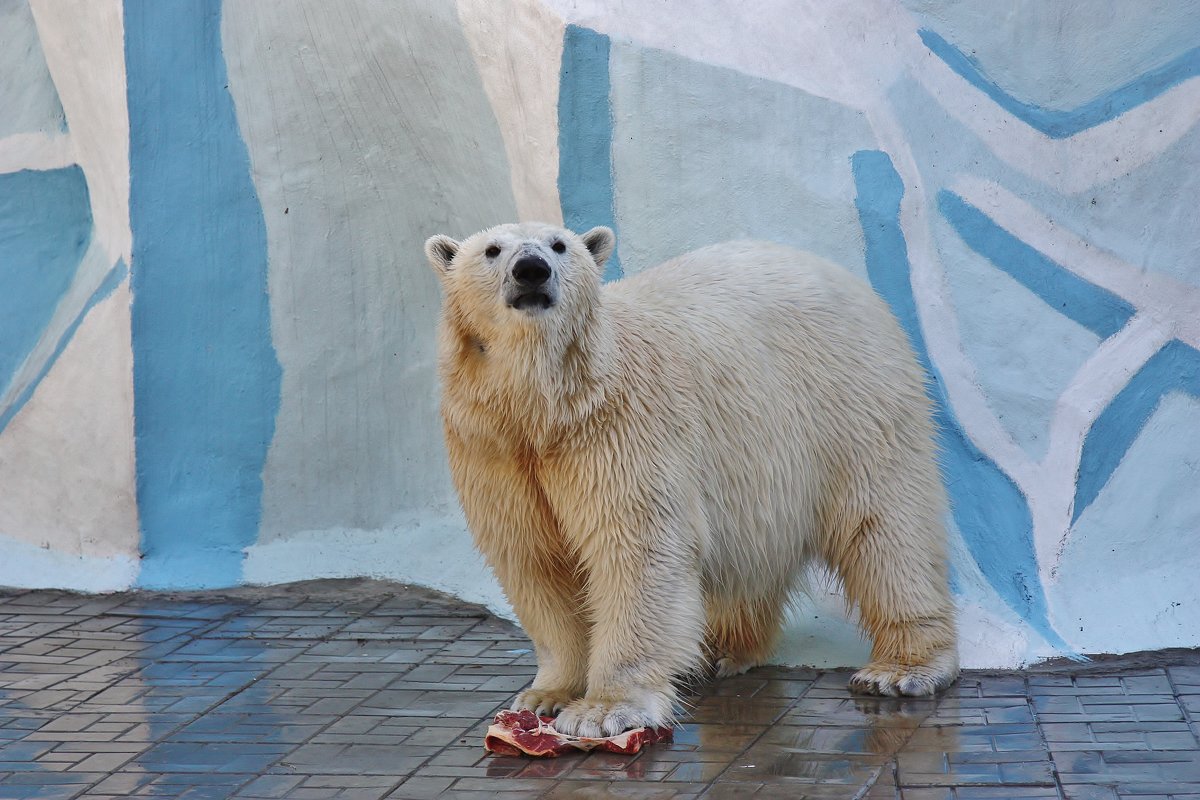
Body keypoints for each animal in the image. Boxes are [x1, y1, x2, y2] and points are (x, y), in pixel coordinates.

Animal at [422, 221, 955, 734]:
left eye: (559, 245)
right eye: (492, 250)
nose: (531, 270)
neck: (544, 403)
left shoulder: (618, 425)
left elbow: (635, 549)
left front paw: (604, 709)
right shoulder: (494, 446)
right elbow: (536, 560)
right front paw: (546, 694)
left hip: (850, 399)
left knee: (884, 528)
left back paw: (901, 669)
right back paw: (719, 647)